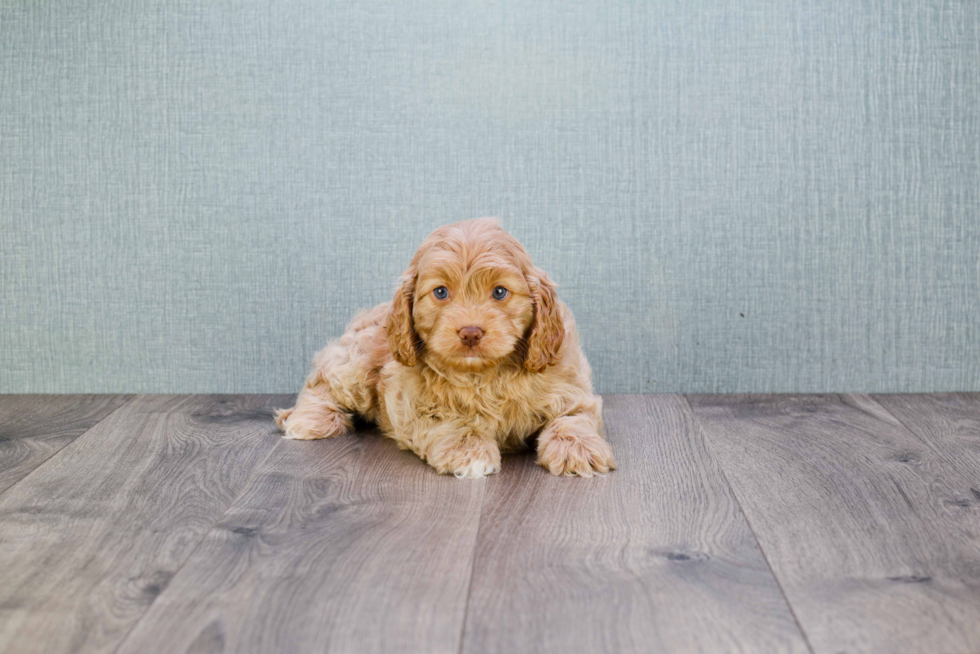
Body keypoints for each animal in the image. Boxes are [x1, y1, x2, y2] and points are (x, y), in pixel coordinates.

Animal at [274, 218, 612, 480]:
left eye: (499, 292)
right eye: (440, 292)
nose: (471, 332)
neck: (486, 374)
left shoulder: (570, 386)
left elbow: (572, 417)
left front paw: (578, 449)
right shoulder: (415, 401)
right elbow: (452, 422)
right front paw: (470, 452)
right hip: (359, 361)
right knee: (323, 380)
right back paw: (308, 420)